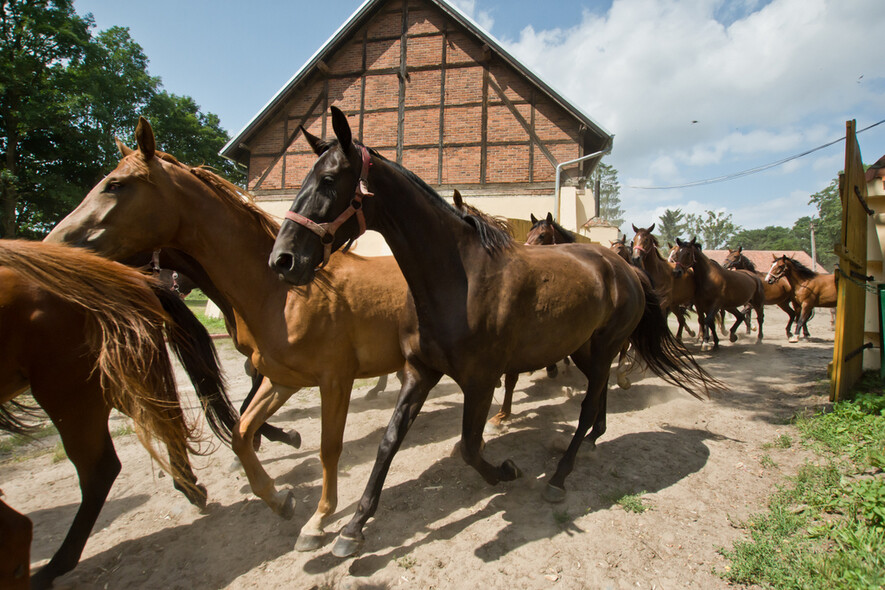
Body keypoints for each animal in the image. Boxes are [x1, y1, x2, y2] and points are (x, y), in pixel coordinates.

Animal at [0, 239, 235, 588]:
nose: (175, 283)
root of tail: (132, 279)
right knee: (164, 420)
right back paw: (192, 487)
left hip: (72, 390)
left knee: (102, 467)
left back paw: (56, 565)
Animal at [266, 107, 716, 560]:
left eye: (328, 180)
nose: (282, 260)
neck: (459, 279)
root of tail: (624, 267)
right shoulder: (420, 371)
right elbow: (389, 441)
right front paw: (353, 528)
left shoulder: (481, 381)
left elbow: (469, 446)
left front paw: (506, 471)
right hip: (583, 347)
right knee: (598, 390)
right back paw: (591, 441)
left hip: (605, 345)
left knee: (589, 402)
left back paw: (560, 475)